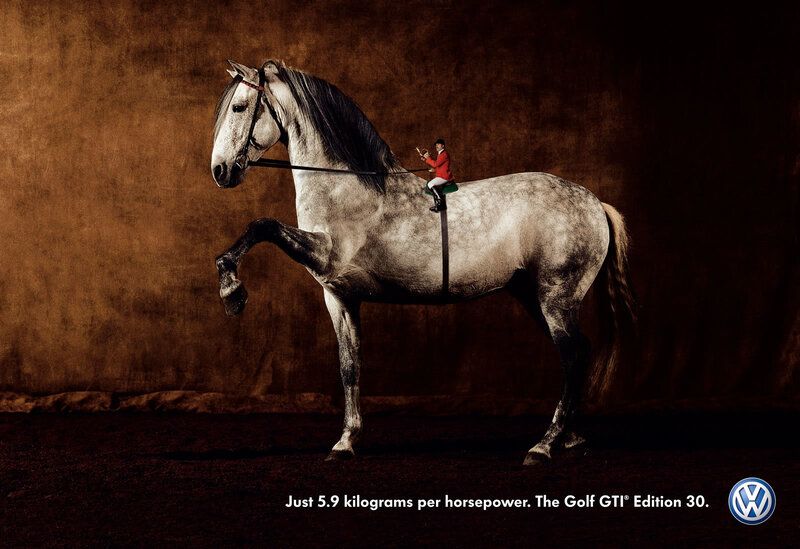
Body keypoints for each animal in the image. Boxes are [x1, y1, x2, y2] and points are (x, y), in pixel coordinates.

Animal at [210, 60, 636, 465]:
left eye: (239, 106)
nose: (220, 170)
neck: (348, 185)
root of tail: (595, 203)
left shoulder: (326, 255)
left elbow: (261, 225)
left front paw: (232, 291)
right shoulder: (340, 296)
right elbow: (350, 365)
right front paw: (346, 441)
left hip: (555, 297)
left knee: (573, 355)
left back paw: (544, 445)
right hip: (535, 297)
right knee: (577, 354)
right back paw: (571, 439)